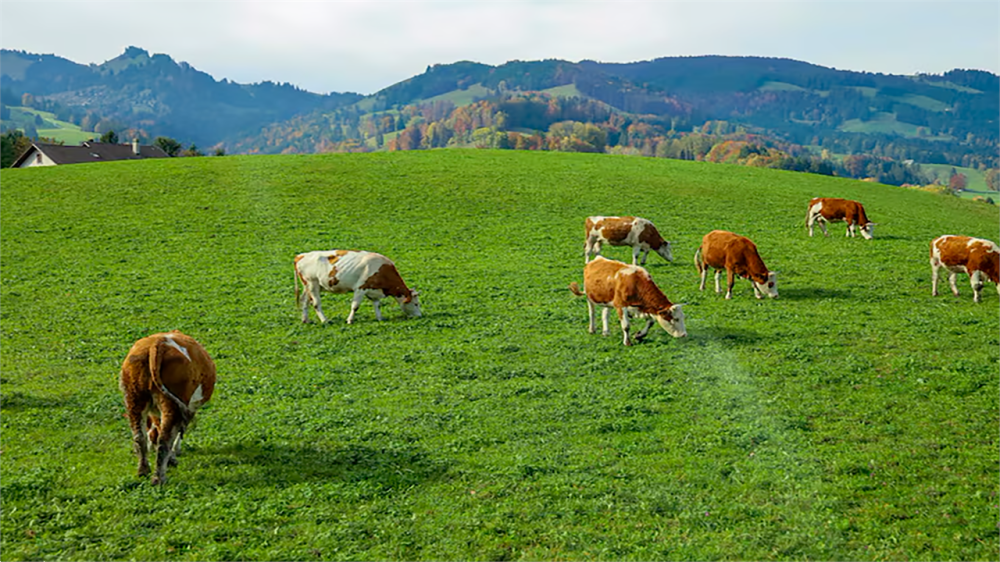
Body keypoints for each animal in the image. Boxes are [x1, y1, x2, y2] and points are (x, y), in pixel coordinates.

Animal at [119, 330, 216, 485]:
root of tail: (157, 343)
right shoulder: (188, 410)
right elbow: (178, 432)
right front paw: (174, 455)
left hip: (134, 398)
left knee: (139, 436)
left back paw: (143, 470)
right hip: (173, 404)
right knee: (164, 439)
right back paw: (159, 478)